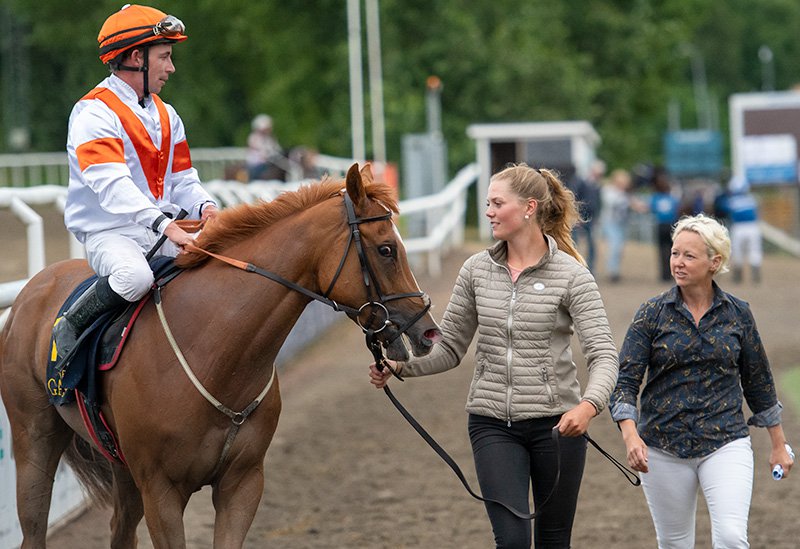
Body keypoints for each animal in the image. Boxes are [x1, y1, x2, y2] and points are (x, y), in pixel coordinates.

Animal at [0, 164, 444, 548]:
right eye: (386, 249)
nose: (427, 330)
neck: (215, 354)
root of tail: (32, 289)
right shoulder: (161, 492)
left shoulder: (242, 484)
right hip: (35, 443)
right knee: (33, 528)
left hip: (122, 467)